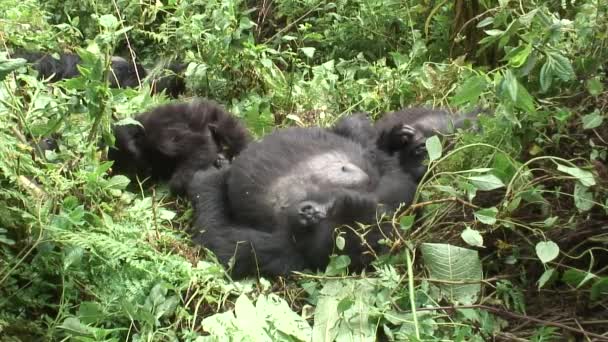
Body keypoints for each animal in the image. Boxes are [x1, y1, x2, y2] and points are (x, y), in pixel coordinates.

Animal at [108, 99, 251, 195]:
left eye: (129, 167)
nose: (133, 182)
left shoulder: (161, 136)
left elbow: (201, 145)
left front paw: (176, 185)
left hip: (216, 115)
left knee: (230, 130)